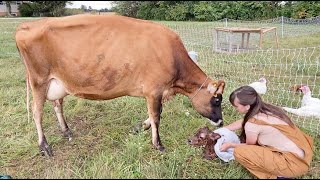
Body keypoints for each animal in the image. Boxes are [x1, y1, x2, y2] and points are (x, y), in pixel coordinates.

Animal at [15, 14, 225, 157]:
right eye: (216, 100)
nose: (221, 122)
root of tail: (27, 25)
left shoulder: (158, 91)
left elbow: (153, 115)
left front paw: (139, 127)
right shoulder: (154, 90)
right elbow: (157, 117)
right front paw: (158, 144)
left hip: (57, 82)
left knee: (57, 104)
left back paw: (66, 131)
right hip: (38, 80)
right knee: (37, 112)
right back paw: (44, 146)